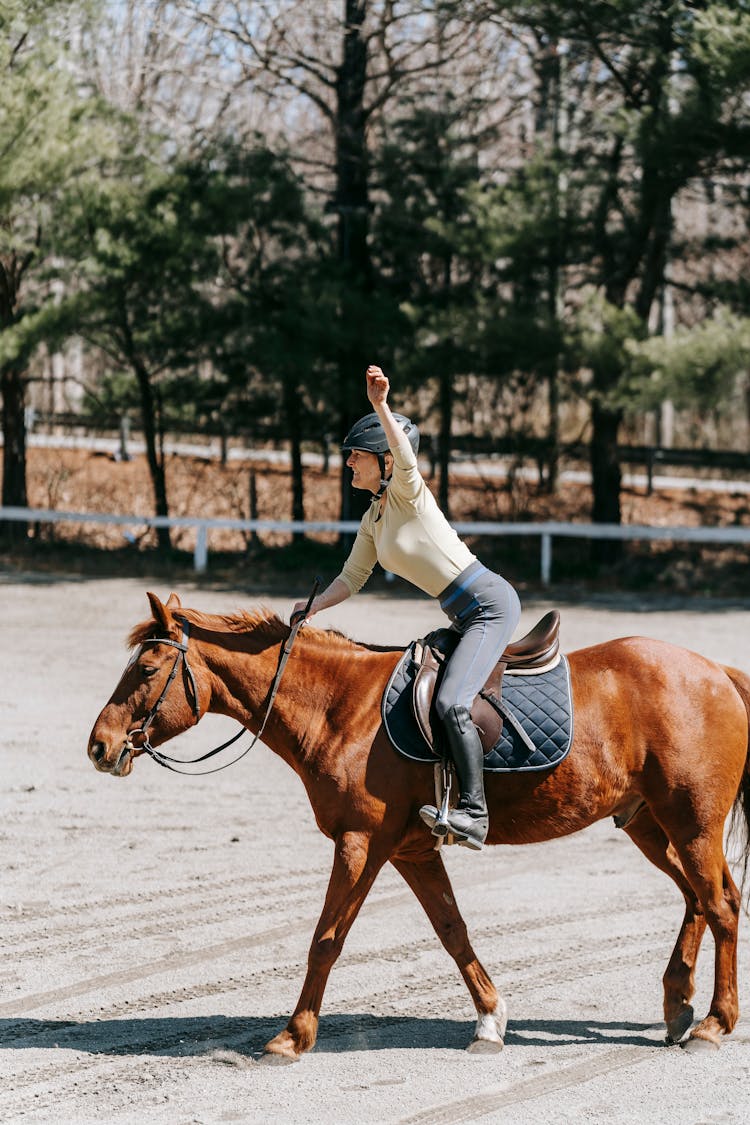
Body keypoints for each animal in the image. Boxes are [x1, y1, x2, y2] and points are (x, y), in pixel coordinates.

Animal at [89, 594, 750, 1057]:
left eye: (146, 670)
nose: (99, 746)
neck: (341, 707)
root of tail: (716, 671)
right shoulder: (411, 852)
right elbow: (452, 931)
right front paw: (489, 1022)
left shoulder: (361, 843)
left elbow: (326, 940)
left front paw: (293, 1035)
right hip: (652, 825)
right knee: (699, 897)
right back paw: (677, 1002)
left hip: (691, 824)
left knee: (720, 904)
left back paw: (714, 1023)